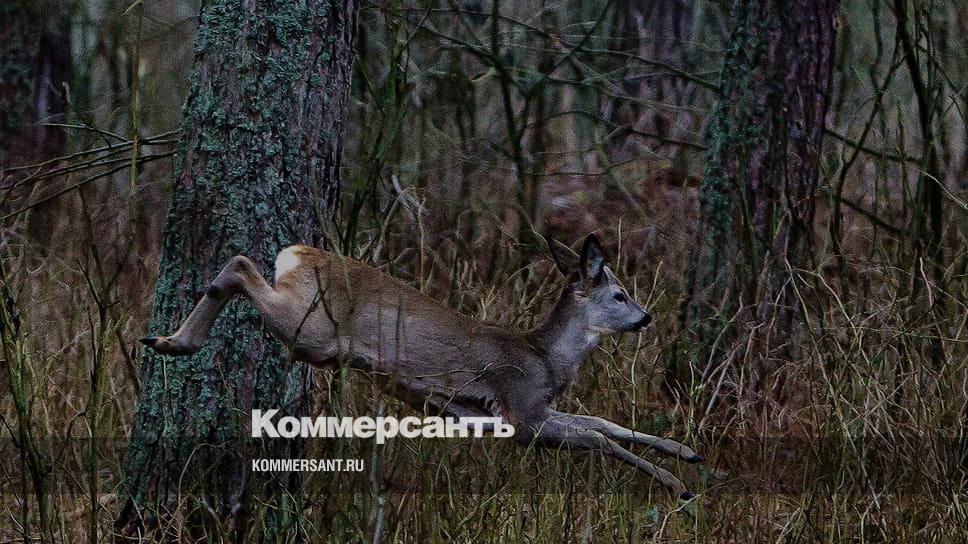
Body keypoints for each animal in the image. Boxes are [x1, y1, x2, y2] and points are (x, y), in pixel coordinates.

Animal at [140, 234, 705, 499]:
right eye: (620, 293)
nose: (647, 317)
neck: (546, 359)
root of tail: (298, 252)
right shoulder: (520, 410)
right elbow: (596, 437)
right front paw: (676, 485)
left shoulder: (519, 410)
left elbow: (603, 423)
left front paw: (687, 453)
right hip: (313, 333)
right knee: (239, 266)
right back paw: (175, 340)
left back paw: (165, 338)